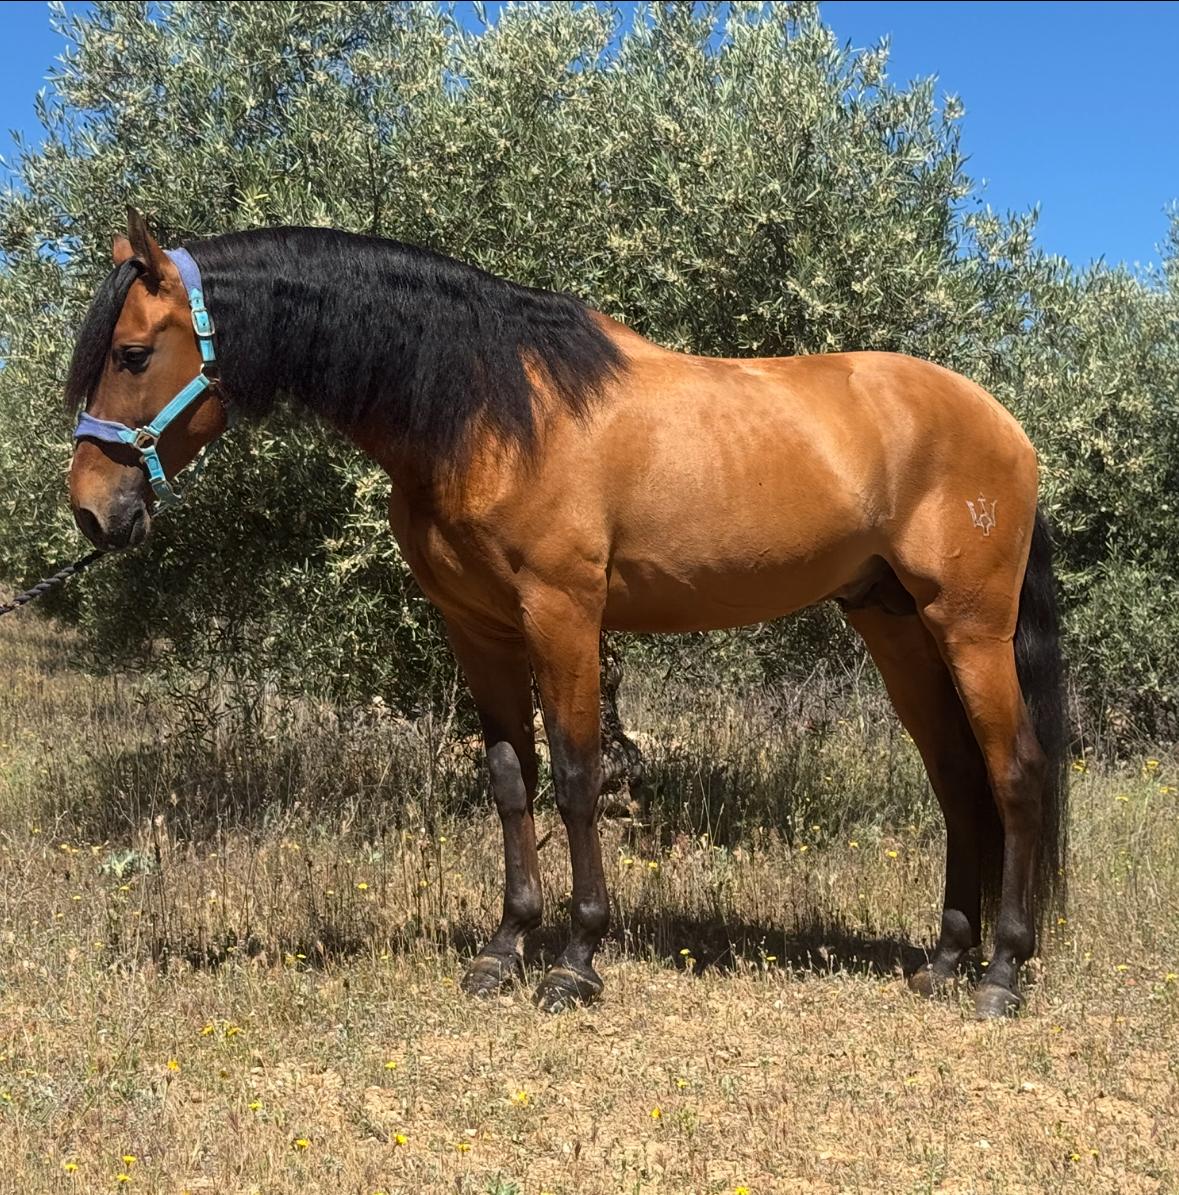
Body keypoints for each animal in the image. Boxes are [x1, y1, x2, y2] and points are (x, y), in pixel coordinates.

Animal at [67, 209, 1067, 1018]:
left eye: (131, 353)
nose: (92, 512)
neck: (490, 408)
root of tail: (1006, 427)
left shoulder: (563, 614)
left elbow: (580, 777)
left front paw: (577, 960)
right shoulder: (478, 628)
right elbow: (512, 780)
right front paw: (504, 949)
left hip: (969, 628)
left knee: (1015, 773)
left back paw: (1000, 974)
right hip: (894, 625)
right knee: (956, 778)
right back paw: (945, 960)